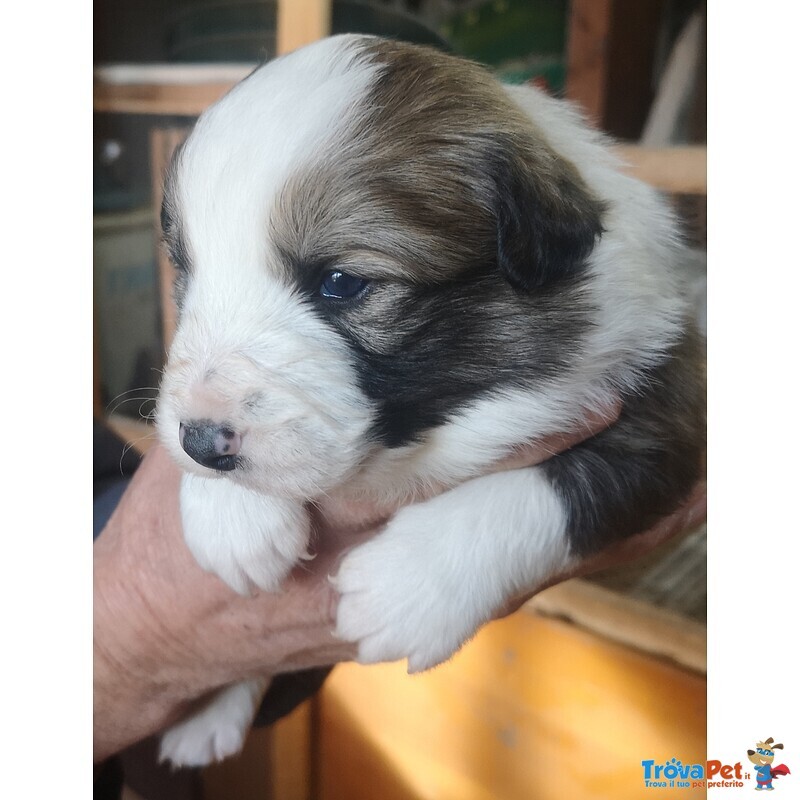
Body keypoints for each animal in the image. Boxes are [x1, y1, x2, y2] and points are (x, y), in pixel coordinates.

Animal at [153, 34, 704, 764]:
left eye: (341, 282)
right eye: (186, 270)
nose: (201, 443)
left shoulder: (668, 398)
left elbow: (542, 486)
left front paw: (408, 586)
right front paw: (230, 516)